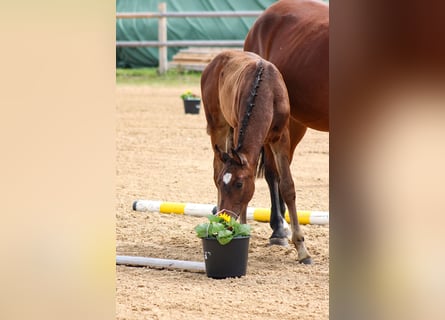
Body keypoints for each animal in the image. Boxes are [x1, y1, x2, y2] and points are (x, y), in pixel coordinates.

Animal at [202, 51, 312, 264]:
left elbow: (287, 186)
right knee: (216, 168)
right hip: (218, 127)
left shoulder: (281, 138)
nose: (225, 222)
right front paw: (242, 231)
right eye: (223, 184)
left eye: (239, 184)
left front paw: (303, 251)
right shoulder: (238, 128)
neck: (267, 90)